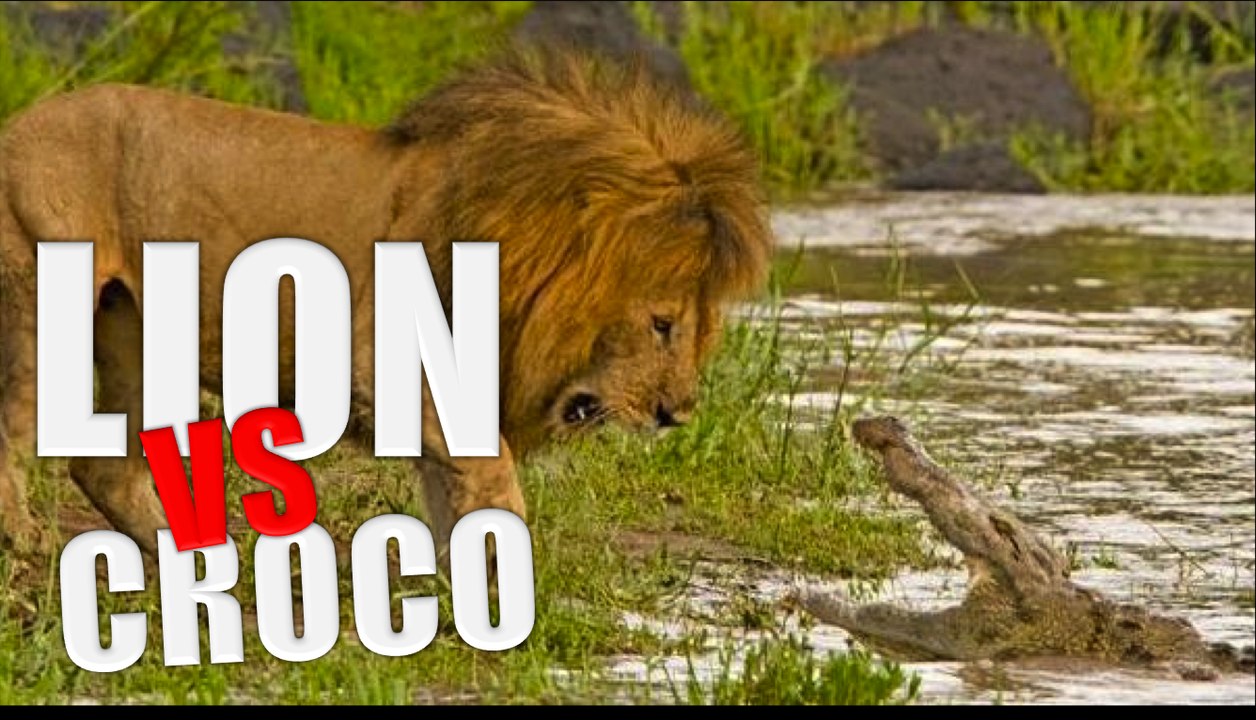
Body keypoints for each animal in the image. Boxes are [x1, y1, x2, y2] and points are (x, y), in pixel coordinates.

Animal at [0, 48, 772, 561]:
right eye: (662, 324)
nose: (677, 416)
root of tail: (16, 124)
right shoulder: (381, 363)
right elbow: (489, 471)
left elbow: (455, 490)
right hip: (44, 299)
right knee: (15, 430)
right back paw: (26, 541)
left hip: (135, 331)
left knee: (105, 467)